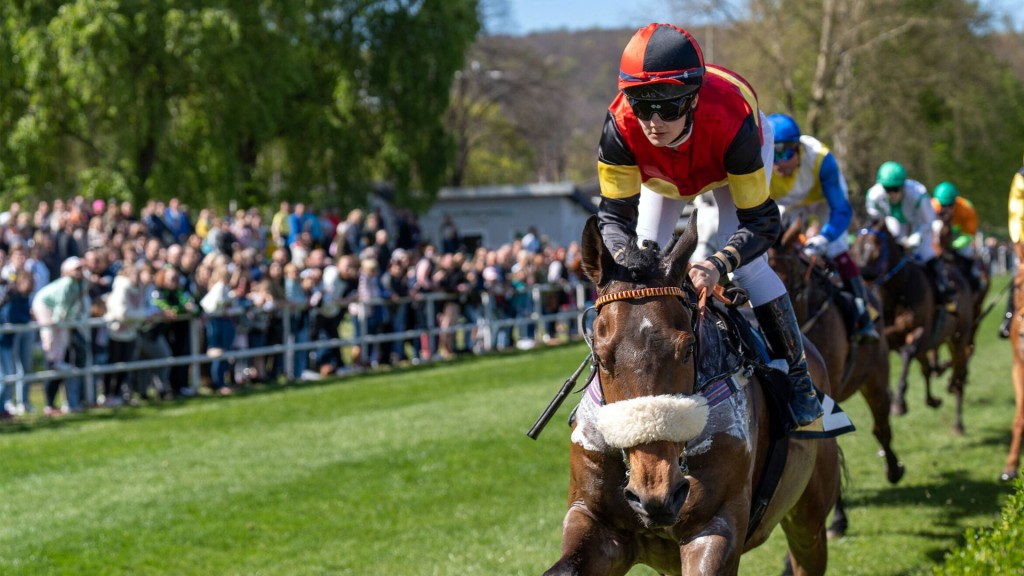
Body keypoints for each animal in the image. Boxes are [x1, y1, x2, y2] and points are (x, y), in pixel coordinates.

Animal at [544, 214, 839, 573]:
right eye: (600, 357)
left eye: (687, 349)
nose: (656, 492)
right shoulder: (592, 519)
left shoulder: (714, 525)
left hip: (808, 514)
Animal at [847, 218, 974, 430]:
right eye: (855, 250)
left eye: (875, 249)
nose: (864, 282)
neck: (897, 293)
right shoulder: (889, 338)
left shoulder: (920, 331)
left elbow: (907, 355)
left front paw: (899, 402)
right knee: (929, 368)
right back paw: (934, 397)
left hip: (959, 334)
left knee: (959, 365)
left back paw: (956, 407)